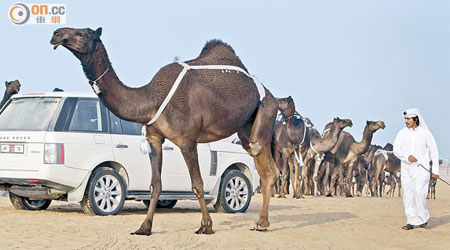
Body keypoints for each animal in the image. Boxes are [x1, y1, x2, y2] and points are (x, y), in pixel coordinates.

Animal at [51, 27, 280, 234]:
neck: (152, 99)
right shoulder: (154, 139)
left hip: (265, 110)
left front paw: (206, 226)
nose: (56, 34)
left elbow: (197, 184)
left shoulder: (188, 140)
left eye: (82, 34)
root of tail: (272, 95)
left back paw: (262, 223)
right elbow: (155, 185)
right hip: (245, 127)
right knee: (265, 166)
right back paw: (262, 222)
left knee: (265, 162)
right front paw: (144, 227)